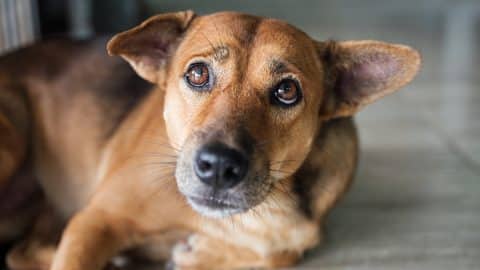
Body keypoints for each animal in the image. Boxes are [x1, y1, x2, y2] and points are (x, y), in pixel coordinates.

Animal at [0, 10, 420, 270]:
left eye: (287, 91)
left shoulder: (295, 236)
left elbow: (278, 255)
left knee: (21, 251)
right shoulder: (96, 219)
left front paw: (200, 254)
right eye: (198, 74)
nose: (218, 166)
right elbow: (73, 257)